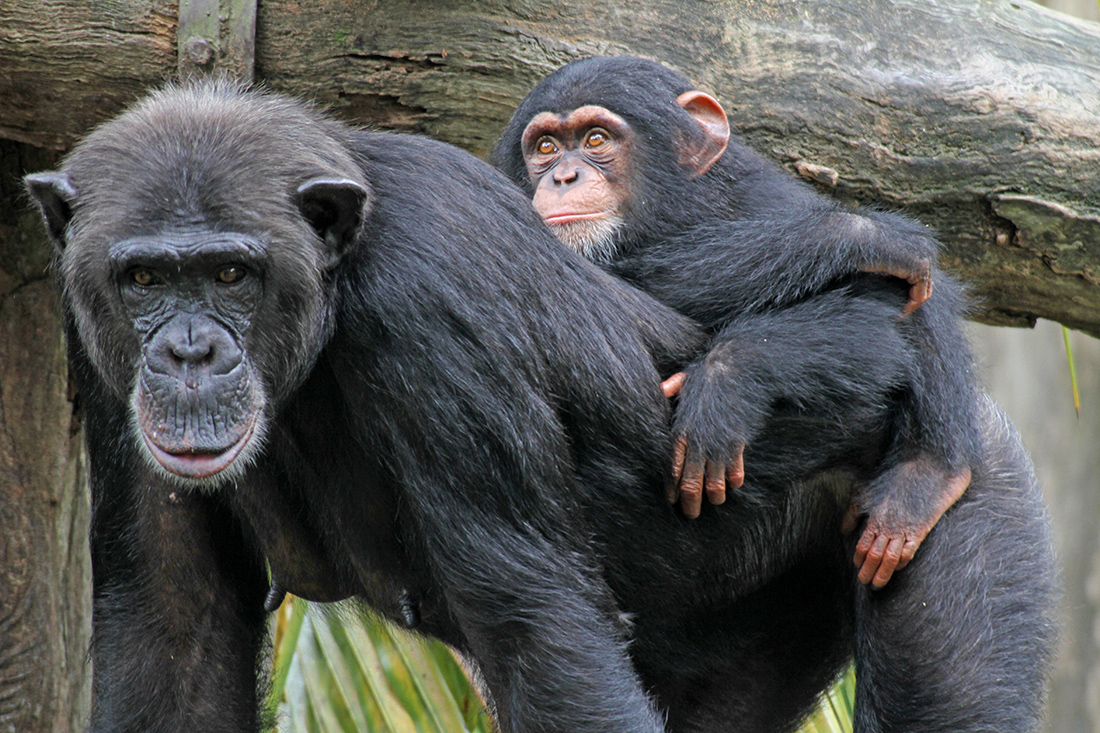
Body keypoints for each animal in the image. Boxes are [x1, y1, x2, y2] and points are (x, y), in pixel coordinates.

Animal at [495, 54, 976, 585]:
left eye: (596, 139)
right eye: (545, 147)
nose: (563, 177)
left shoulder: (766, 198)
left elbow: (869, 313)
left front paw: (721, 386)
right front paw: (862, 233)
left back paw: (928, 472)